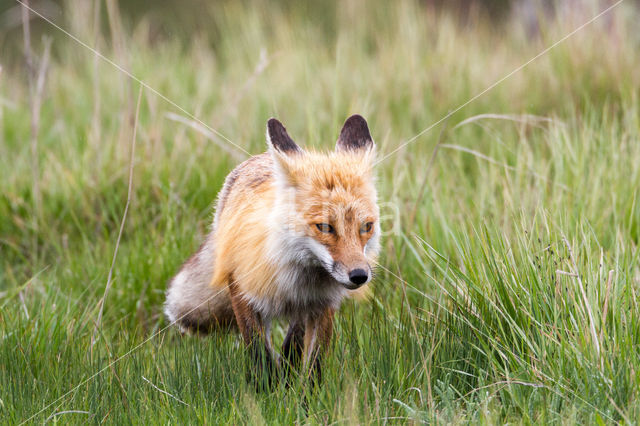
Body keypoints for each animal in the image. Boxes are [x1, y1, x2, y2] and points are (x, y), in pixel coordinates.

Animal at [164, 115, 380, 384]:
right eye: (324, 227)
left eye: (367, 227)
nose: (359, 276)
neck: (297, 276)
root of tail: (260, 157)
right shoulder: (243, 293)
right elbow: (259, 352)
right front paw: (265, 388)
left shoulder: (322, 305)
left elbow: (313, 362)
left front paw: (307, 393)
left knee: (292, 341)